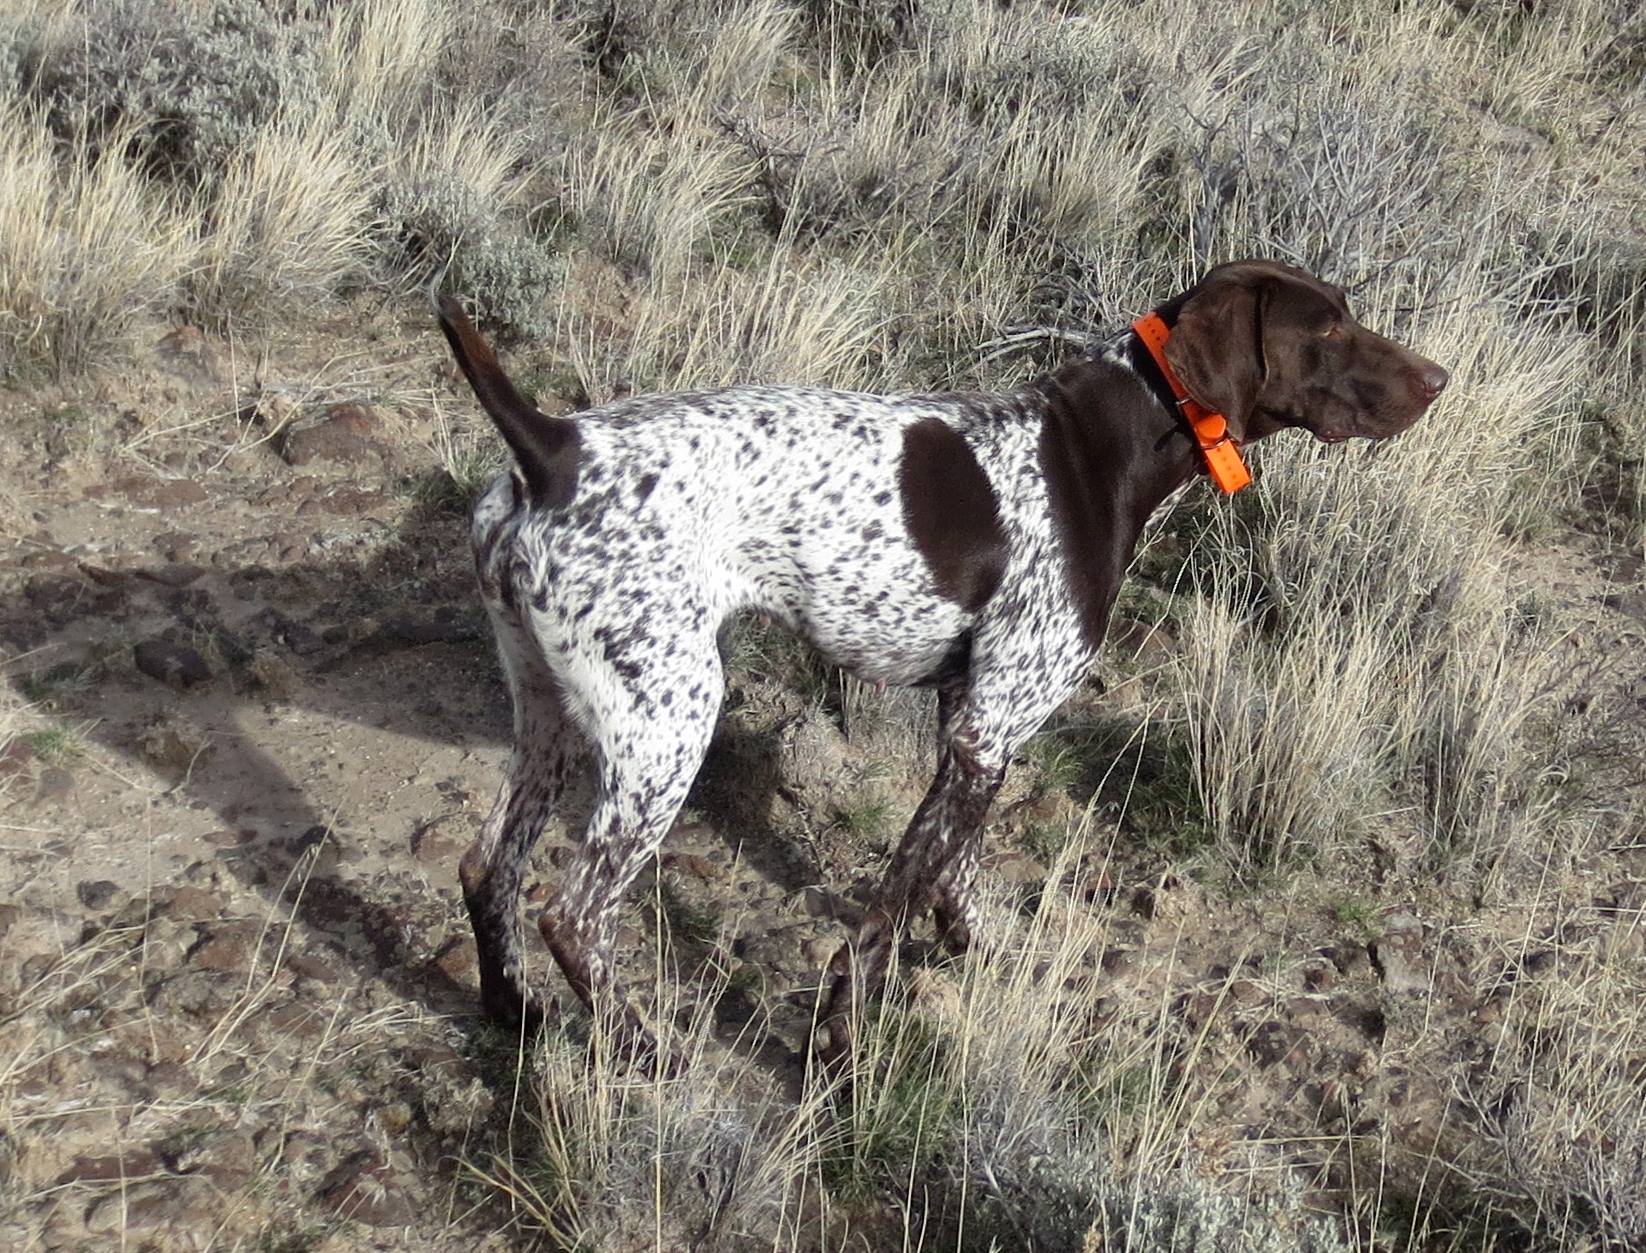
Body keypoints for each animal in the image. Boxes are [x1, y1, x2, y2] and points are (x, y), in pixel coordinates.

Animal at [437, 258, 1455, 1060]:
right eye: (1327, 327)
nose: (1439, 379)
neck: (1107, 446)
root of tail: (553, 448)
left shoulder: (971, 723)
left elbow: (954, 865)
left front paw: (971, 947)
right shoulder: (987, 729)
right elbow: (888, 904)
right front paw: (843, 1035)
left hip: (551, 711)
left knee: (488, 866)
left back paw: (512, 1014)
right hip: (667, 724)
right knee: (574, 915)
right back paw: (642, 1052)